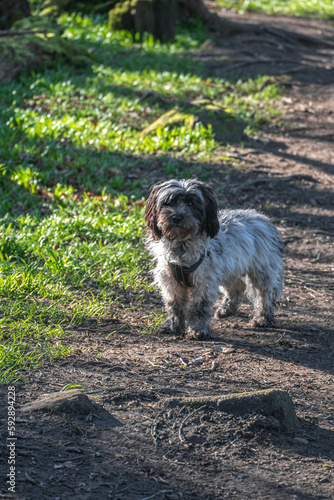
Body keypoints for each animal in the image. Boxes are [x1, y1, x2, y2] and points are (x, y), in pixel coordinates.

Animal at [145, 180, 284, 340]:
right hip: (229, 269)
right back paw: (227, 309)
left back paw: (262, 318)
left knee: (264, 294)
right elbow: (174, 305)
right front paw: (173, 326)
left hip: (261, 272)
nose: (176, 217)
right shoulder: (171, 281)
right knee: (237, 286)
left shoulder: (204, 281)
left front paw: (198, 330)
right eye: (168, 202)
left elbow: (199, 308)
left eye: (191, 203)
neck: (182, 243)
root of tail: (263, 218)